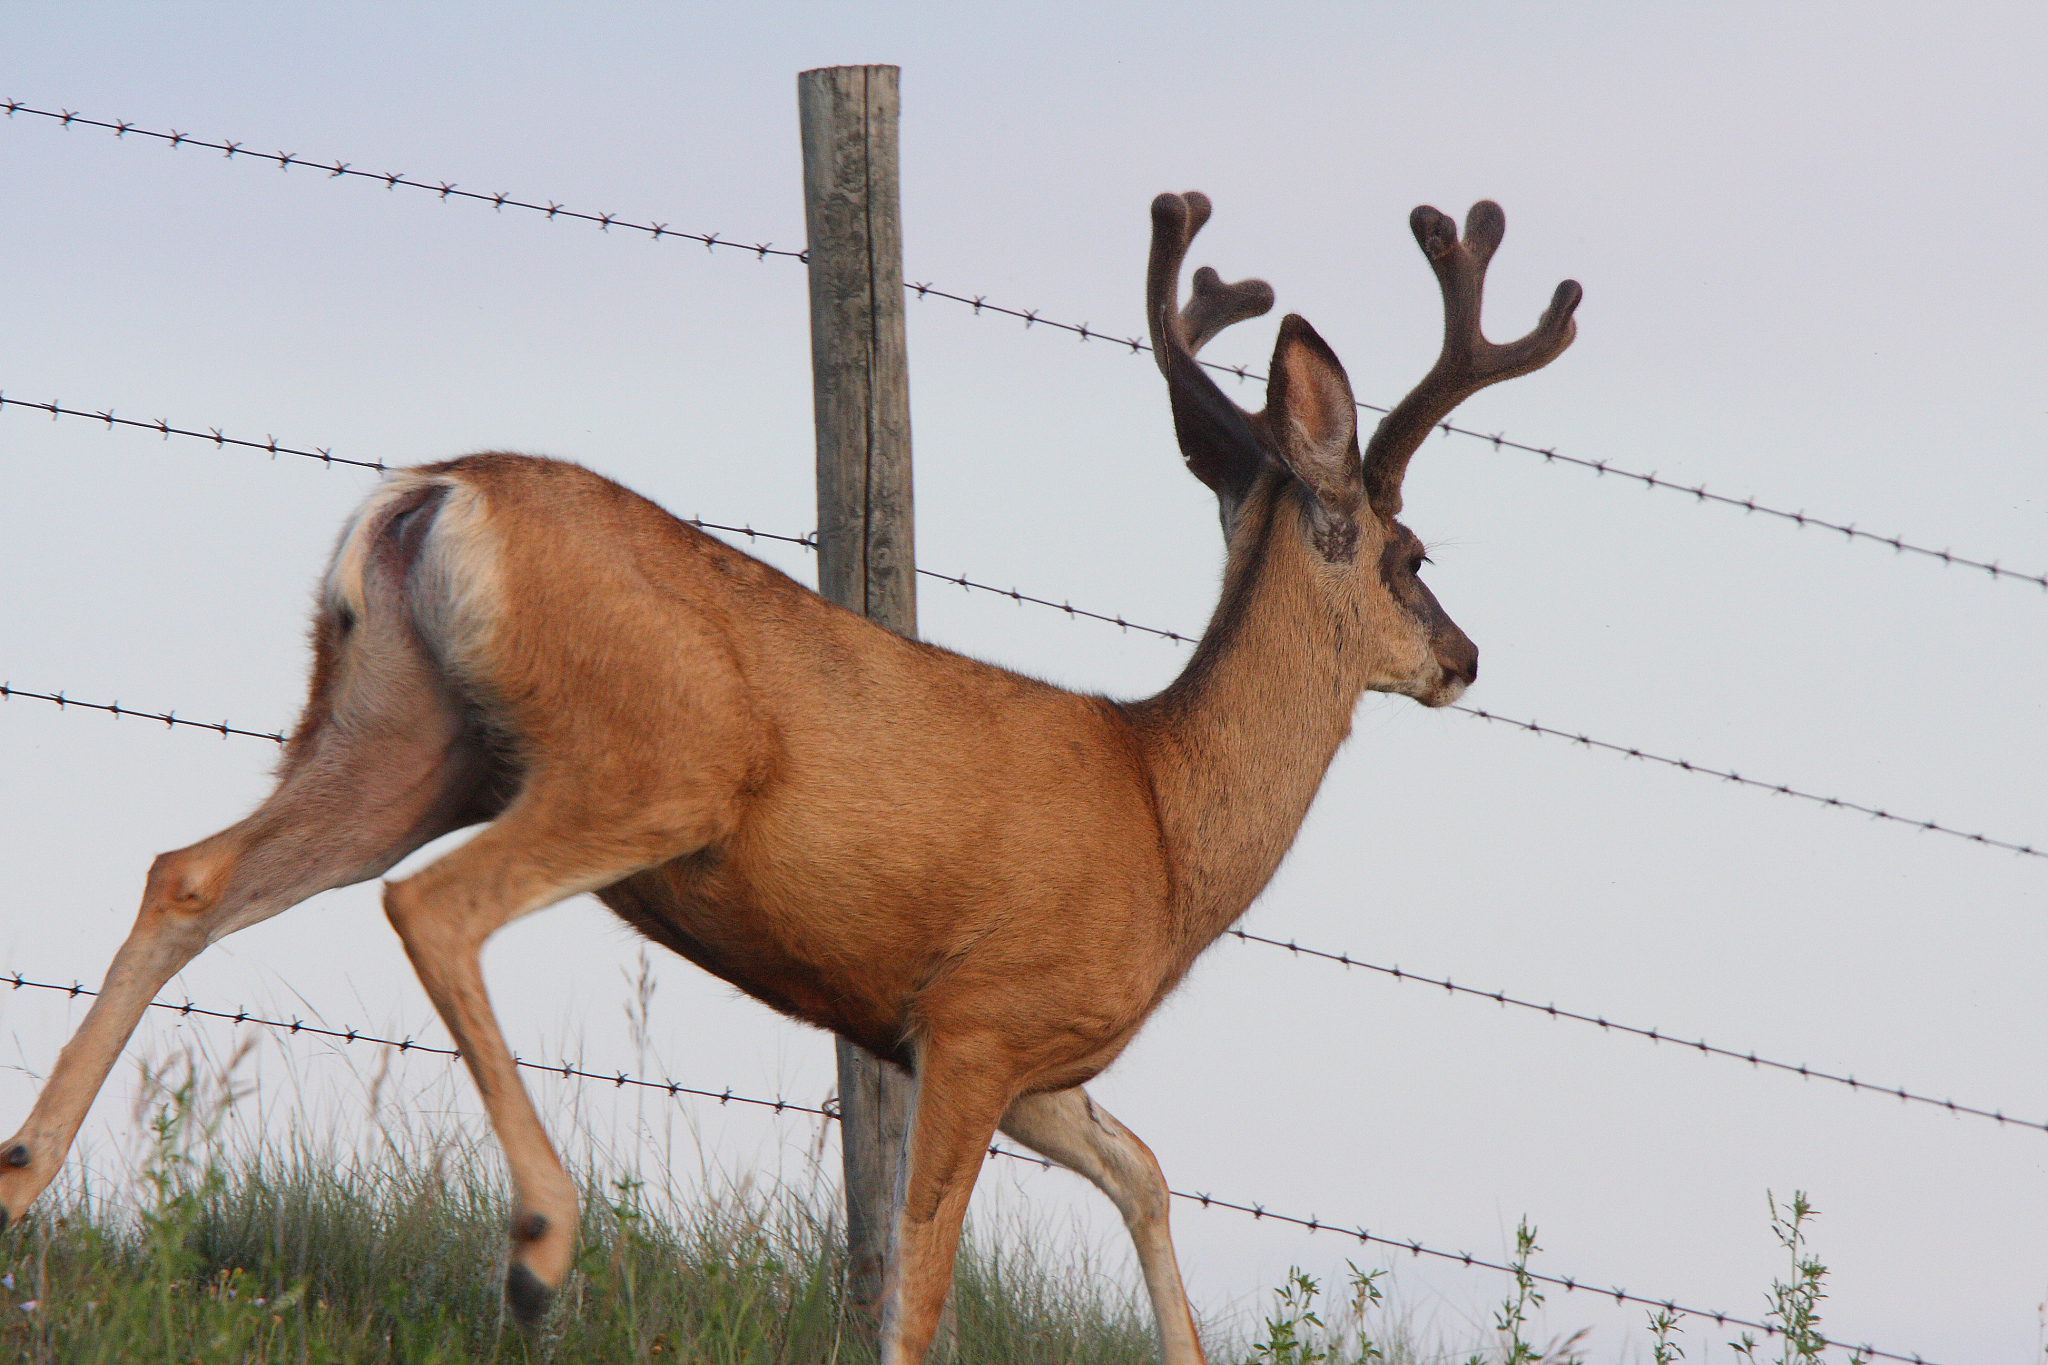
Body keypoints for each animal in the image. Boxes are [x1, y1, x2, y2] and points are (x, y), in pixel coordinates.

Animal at [0, 190, 1577, 1364]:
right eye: (1411, 554)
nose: (1465, 656)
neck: (1170, 819)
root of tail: (430, 494)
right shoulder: (979, 1017)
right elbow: (919, 1294)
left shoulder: (1006, 1051)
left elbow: (1145, 1167)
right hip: (644, 764)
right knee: (433, 907)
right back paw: (539, 1245)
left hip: (396, 739)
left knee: (190, 871)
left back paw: (22, 1184)